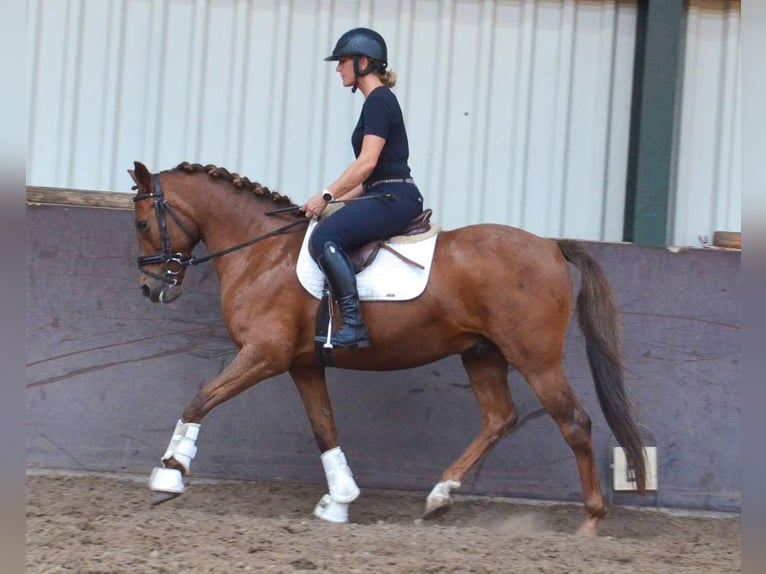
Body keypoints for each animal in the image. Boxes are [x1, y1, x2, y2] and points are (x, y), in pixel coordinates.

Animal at [129, 160, 647, 535]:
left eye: (141, 223)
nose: (151, 289)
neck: (262, 253)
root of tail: (550, 246)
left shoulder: (264, 355)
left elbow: (200, 399)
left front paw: (169, 474)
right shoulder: (302, 365)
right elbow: (324, 428)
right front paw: (339, 500)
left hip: (536, 359)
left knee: (574, 423)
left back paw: (589, 523)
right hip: (481, 353)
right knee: (500, 418)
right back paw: (439, 496)